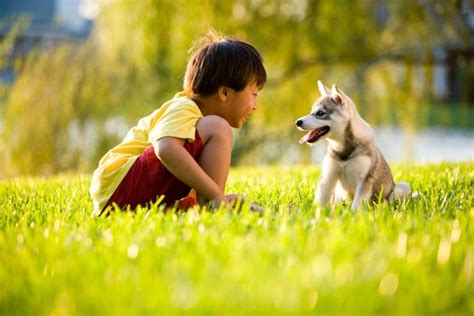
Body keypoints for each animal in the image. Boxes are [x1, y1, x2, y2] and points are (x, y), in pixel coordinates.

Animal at [296, 81, 412, 210]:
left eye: (320, 113)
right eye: (311, 112)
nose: (298, 122)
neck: (343, 149)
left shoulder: (364, 181)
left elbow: (356, 205)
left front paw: (352, 214)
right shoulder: (328, 177)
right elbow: (320, 200)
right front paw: (314, 212)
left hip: (402, 187)